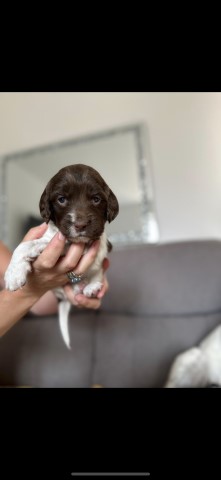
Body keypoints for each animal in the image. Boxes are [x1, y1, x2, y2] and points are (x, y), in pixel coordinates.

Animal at [4, 165, 119, 348]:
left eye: (96, 199)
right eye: (62, 199)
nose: (80, 225)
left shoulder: (91, 243)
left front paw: (14, 274)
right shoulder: (52, 237)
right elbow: (26, 245)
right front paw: (14, 273)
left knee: (93, 278)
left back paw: (92, 288)